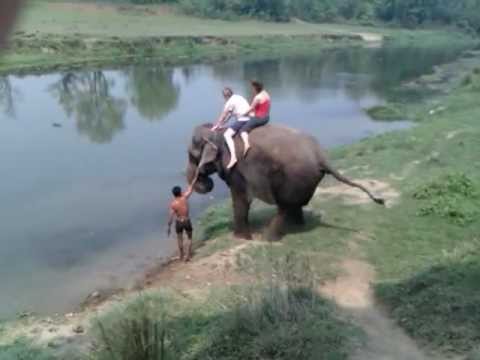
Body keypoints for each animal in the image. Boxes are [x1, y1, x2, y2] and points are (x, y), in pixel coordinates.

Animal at [186, 123, 384, 239]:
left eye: (192, 155)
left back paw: (267, 238)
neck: (218, 134)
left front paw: (240, 238)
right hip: (303, 179)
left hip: (293, 177)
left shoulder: (235, 170)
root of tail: (321, 157)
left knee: (284, 206)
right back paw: (296, 227)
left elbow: (240, 199)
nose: (202, 178)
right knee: (295, 204)